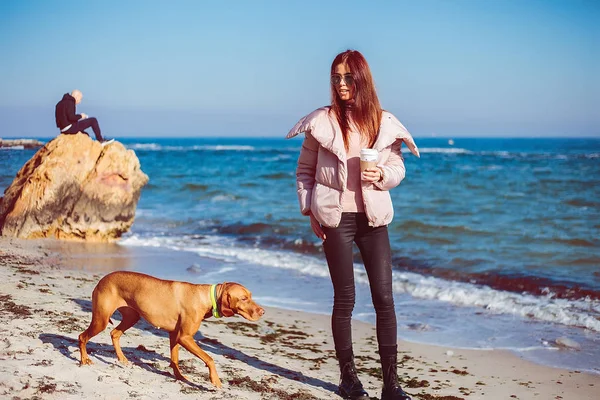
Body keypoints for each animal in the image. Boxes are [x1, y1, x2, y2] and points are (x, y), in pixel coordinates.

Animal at [76, 270, 264, 386]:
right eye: (244, 298)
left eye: (250, 296)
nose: (262, 311)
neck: (205, 297)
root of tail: (102, 279)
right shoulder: (185, 337)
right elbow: (210, 358)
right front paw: (215, 380)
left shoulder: (175, 335)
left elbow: (174, 359)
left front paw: (179, 377)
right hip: (101, 320)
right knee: (82, 337)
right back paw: (84, 360)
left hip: (132, 317)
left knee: (114, 333)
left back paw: (122, 358)